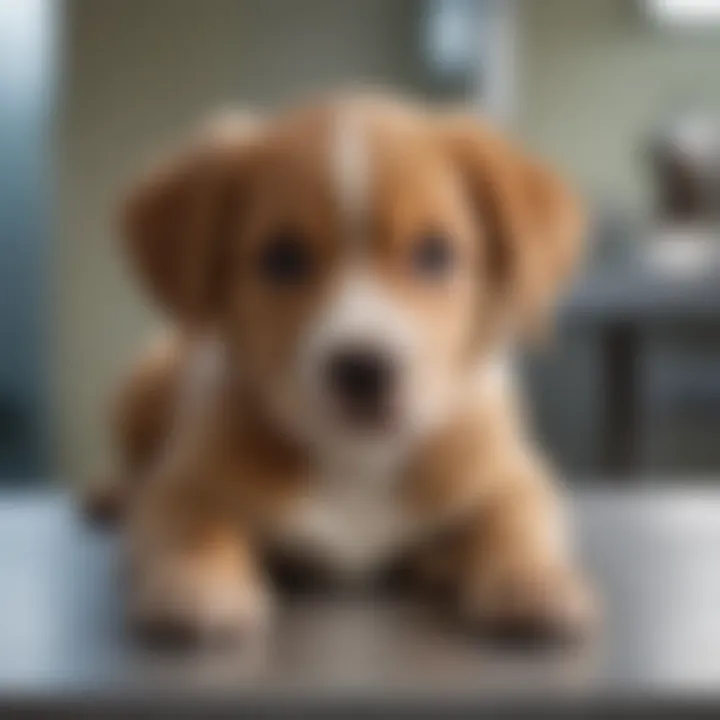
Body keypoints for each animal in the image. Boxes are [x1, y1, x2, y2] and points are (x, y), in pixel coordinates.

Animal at [105, 94, 592, 640]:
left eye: (434, 252)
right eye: (282, 257)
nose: (364, 369)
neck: (357, 458)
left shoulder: (510, 478)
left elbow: (514, 527)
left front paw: (534, 578)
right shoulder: (184, 483)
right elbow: (193, 526)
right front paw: (195, 582)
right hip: (140, 386)